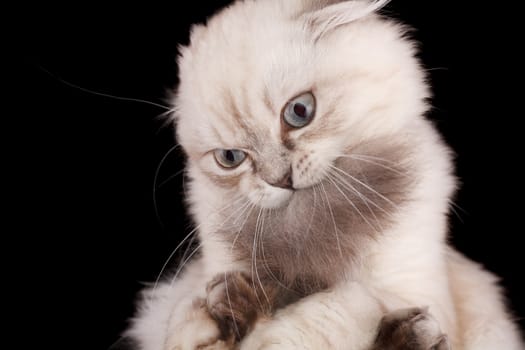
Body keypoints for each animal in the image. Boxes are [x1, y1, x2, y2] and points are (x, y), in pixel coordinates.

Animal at [125, 0, 520, 350]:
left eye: (299, 111)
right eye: (231, 158)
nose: (279, 179)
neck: (312, 223)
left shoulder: (412, 284)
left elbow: (336, 310)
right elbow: (189, 325)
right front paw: (228, 309)